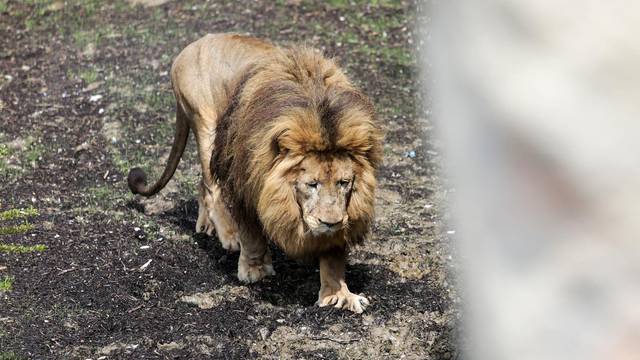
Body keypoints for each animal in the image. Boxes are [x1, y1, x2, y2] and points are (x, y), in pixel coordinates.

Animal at [127, 33, 382, 312]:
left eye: (344, 182)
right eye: (311, 184)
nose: (330, 222)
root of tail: (190, 47)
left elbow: (333, 255)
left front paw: (339, 294)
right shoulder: (244, 181)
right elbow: (251, 233)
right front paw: (254, 269)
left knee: (202, 185)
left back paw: (205, 225)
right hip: (207, 126)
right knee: (212, 188)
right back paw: (228, 235)